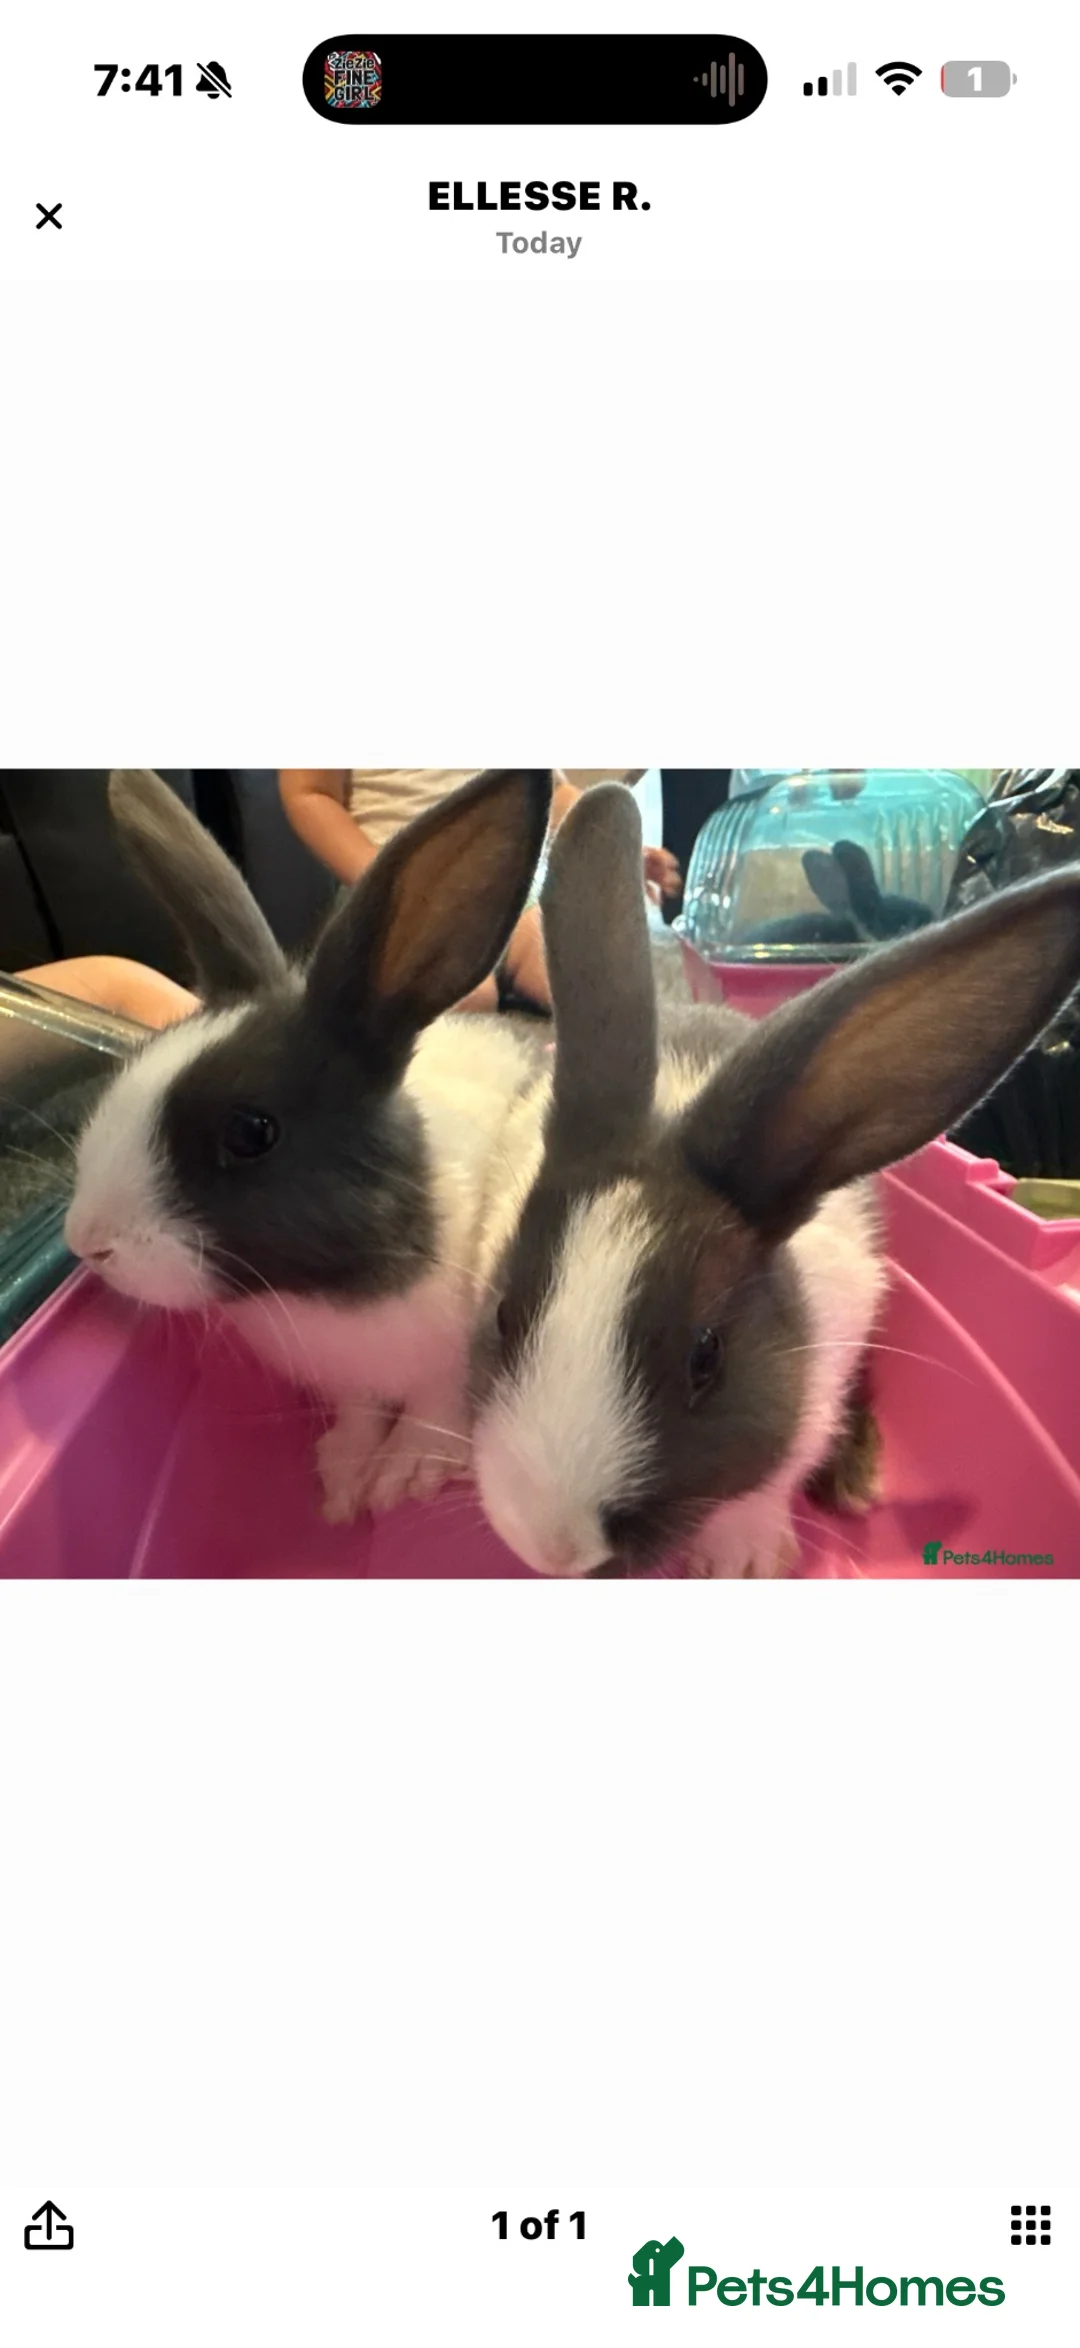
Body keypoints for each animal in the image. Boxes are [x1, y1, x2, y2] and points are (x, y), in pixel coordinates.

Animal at [64, 766, 554, 1522]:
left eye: (250, 1132)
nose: (87, 1244)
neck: (323, 1290)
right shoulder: (348, 1378)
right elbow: (359, 1411)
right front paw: (345, 1477)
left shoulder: (457, 1360)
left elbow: (435, 1410)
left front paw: (403, 1474)